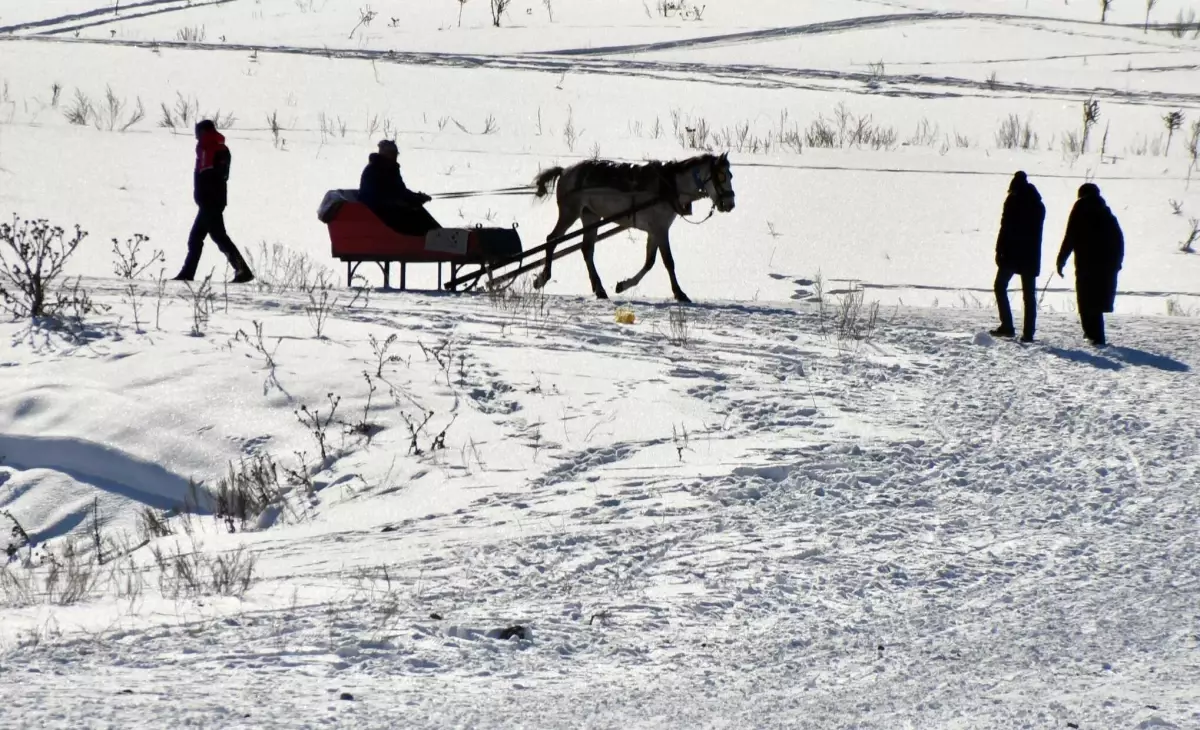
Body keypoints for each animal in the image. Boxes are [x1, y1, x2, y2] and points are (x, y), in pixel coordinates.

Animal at [532, 152, 734, 303]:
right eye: (721, 176)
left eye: (731, 175)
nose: (730, 204)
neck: (669, 186)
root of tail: (565, 171)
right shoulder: (660, 229)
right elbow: (668, 262)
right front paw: (679, 293)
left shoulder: (655, 230)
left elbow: (649, 262)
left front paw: (623, 285)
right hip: (570, 211)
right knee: (552, 240)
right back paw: (543, 278)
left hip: (590, 215)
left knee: (587, 249)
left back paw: (599, 289)